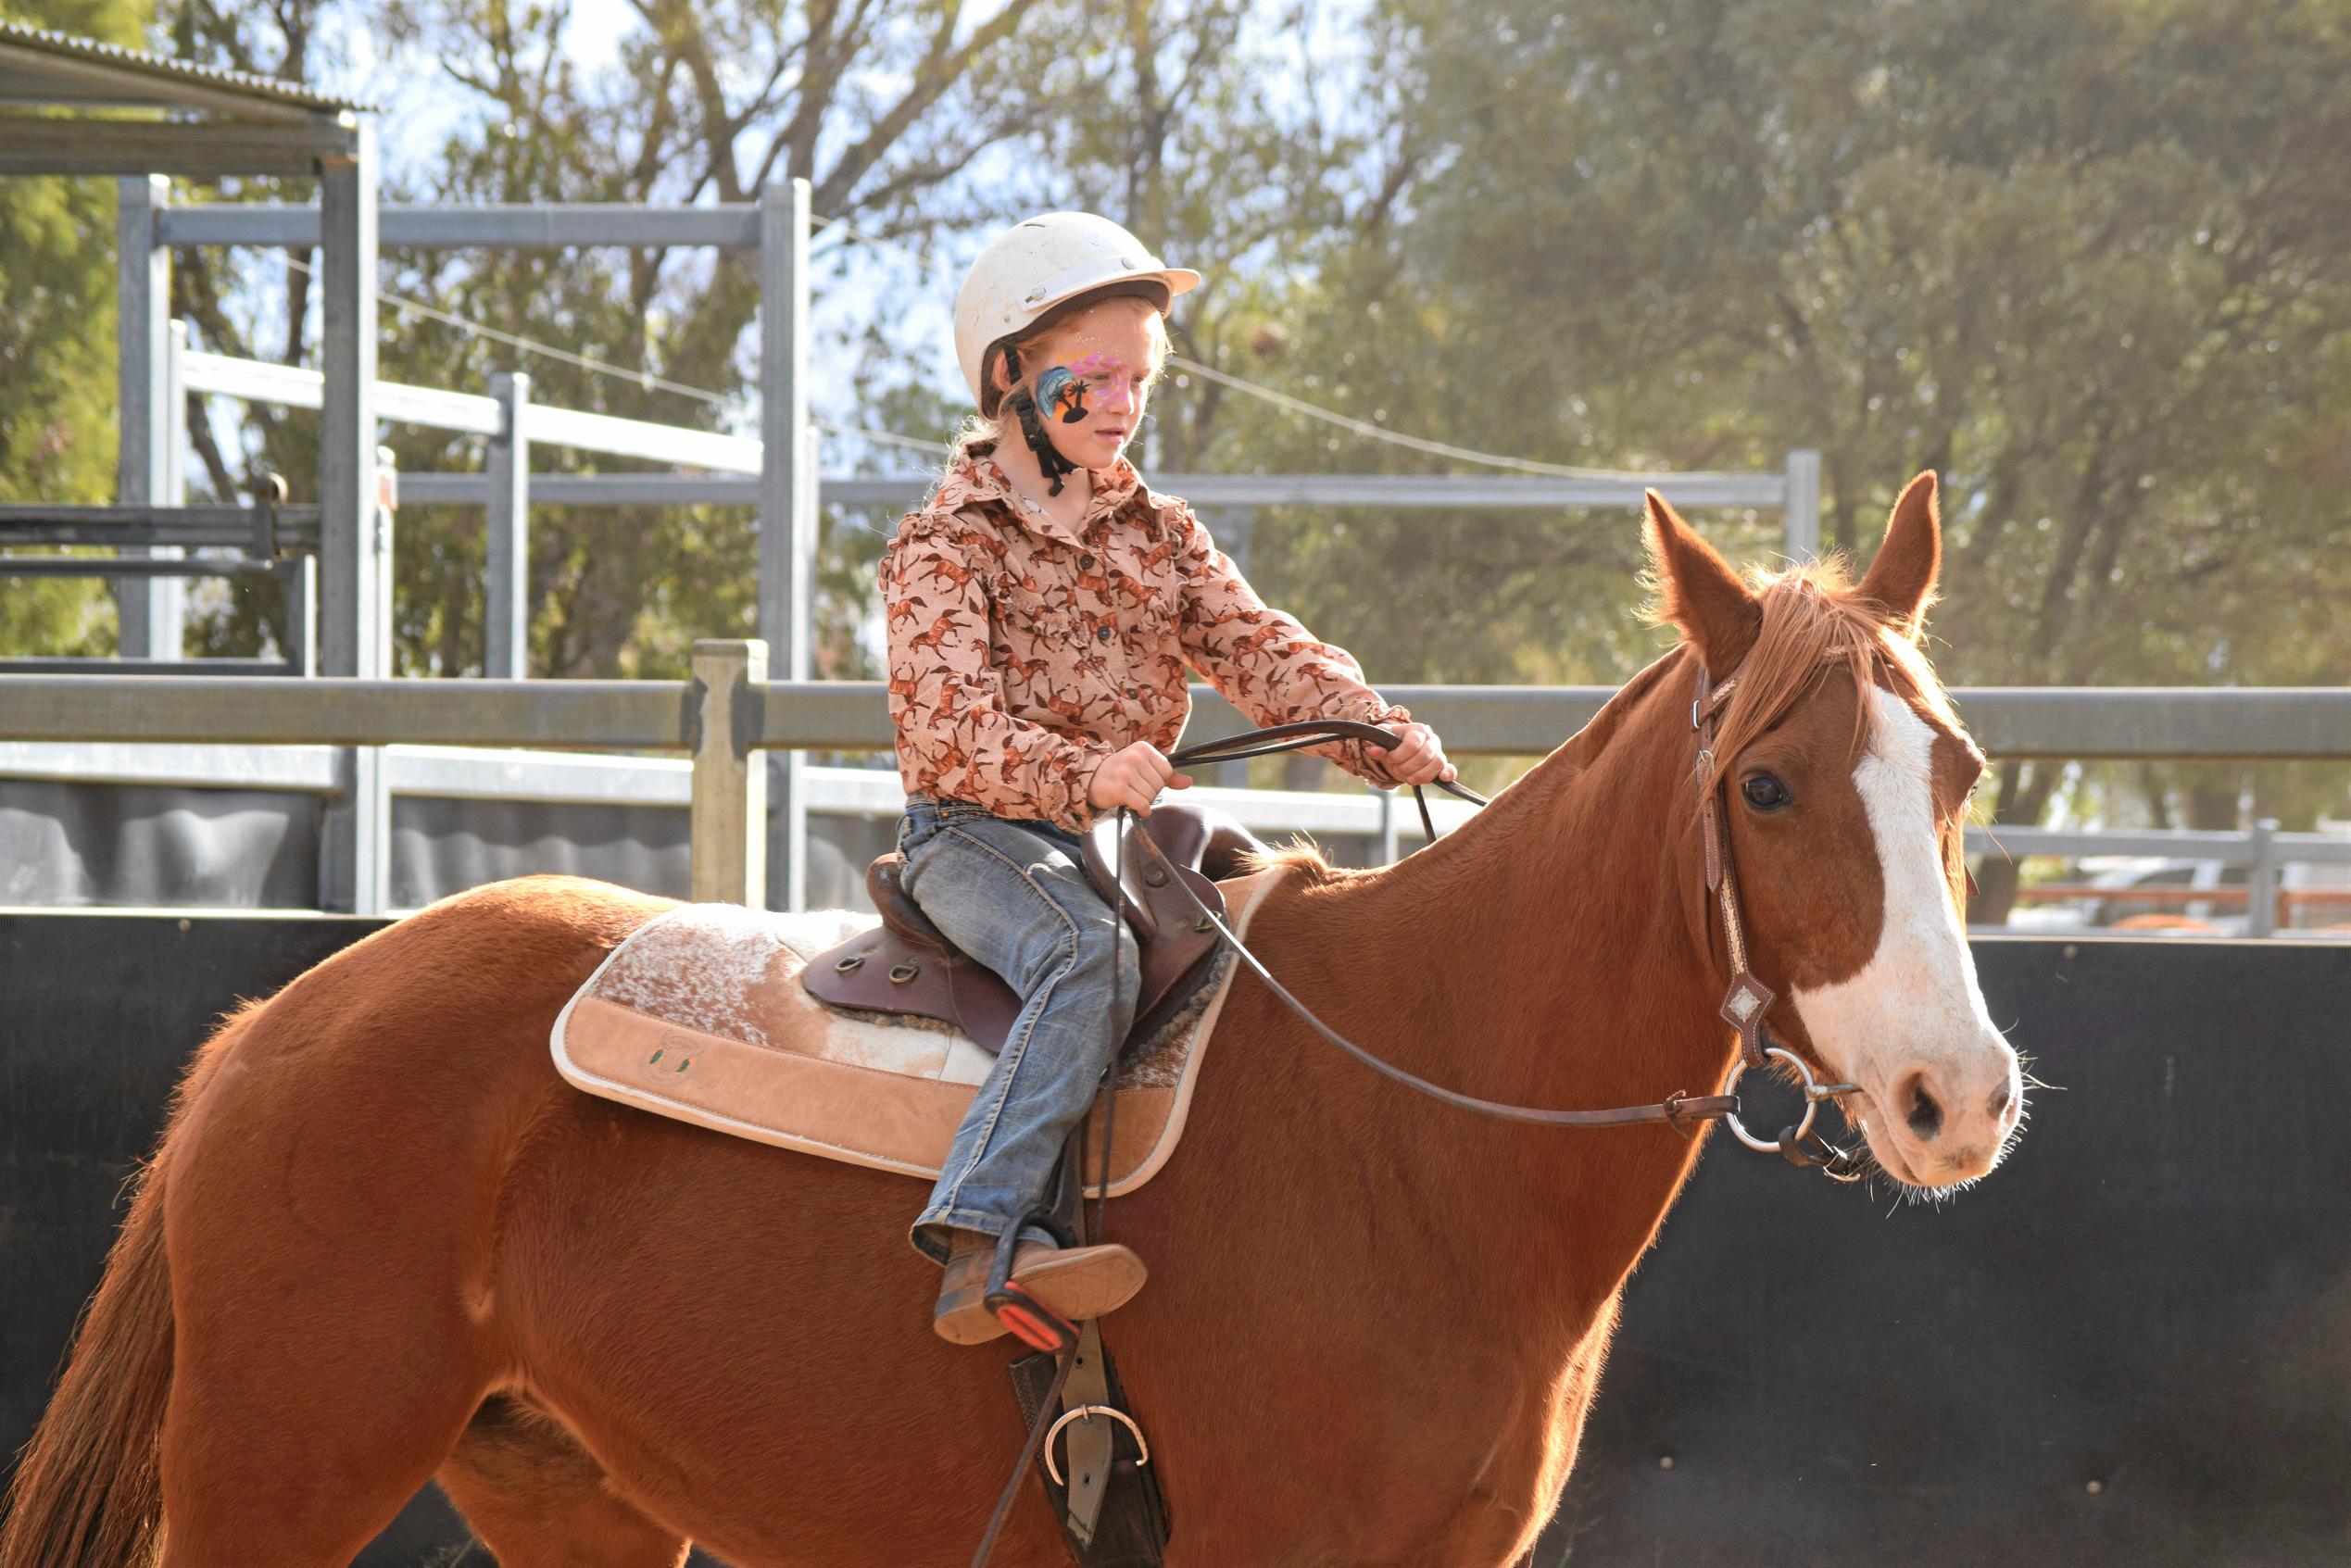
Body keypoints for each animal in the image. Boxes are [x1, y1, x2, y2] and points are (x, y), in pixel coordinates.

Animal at [0, 472, 2021, 1561]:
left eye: (1960, 772)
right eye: (1766, 785)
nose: (1956, 1095)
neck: (1418, 1120)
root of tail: (267, 1030)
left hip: (561, 1485)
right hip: (274, 1471)